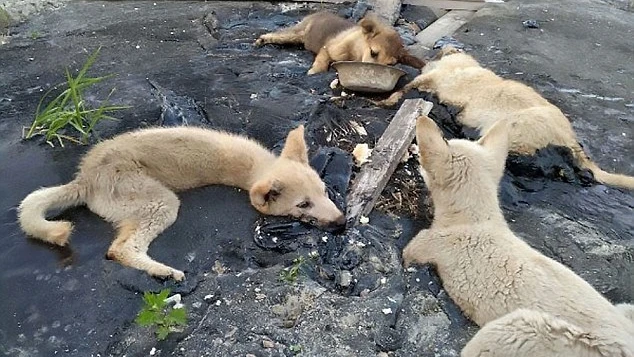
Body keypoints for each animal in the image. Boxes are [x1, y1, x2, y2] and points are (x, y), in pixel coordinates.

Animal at [17, 126, 344, 280]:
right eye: (303, 205)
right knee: (121, 249)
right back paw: (163, 271)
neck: (256, 165)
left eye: (325, 192)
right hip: (157, 200)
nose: (342, 224)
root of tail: (84, 179)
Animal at [253, 11, 424, 74]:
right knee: (275, 34)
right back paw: (262, 39)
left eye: (390, 65)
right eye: (373, 53)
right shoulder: (327, 48)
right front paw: (314, 72)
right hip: (295, 34)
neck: (355, 50)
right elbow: (321, 64)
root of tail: (318, 13)